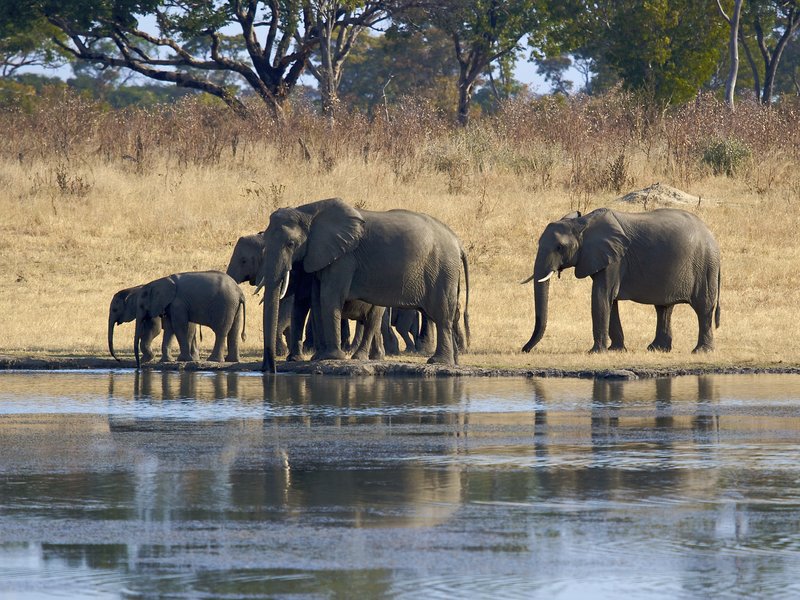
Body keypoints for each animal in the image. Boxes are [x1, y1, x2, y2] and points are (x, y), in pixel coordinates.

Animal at [256, 197, 470, 373]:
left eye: (291, 244)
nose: (269, 369)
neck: (307, 212)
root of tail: (458, 243)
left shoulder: (344, 257)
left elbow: (329, 297)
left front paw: (332, 357)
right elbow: (317, 299)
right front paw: (319, 357)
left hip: (442, 269)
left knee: (441, 315)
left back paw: (438, 362)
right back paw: (453, 362)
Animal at [521, 208, 721, 354]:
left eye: (559, 247)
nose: (525, 350)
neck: (582, 223)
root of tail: (711, 236)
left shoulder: (615, 259)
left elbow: (601, 297)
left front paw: (595, 352)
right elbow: (610, 301)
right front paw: (615, 350)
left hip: (705, 267)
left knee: (703, 308)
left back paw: (701, 351)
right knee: (664, 308)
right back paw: (657, 349)